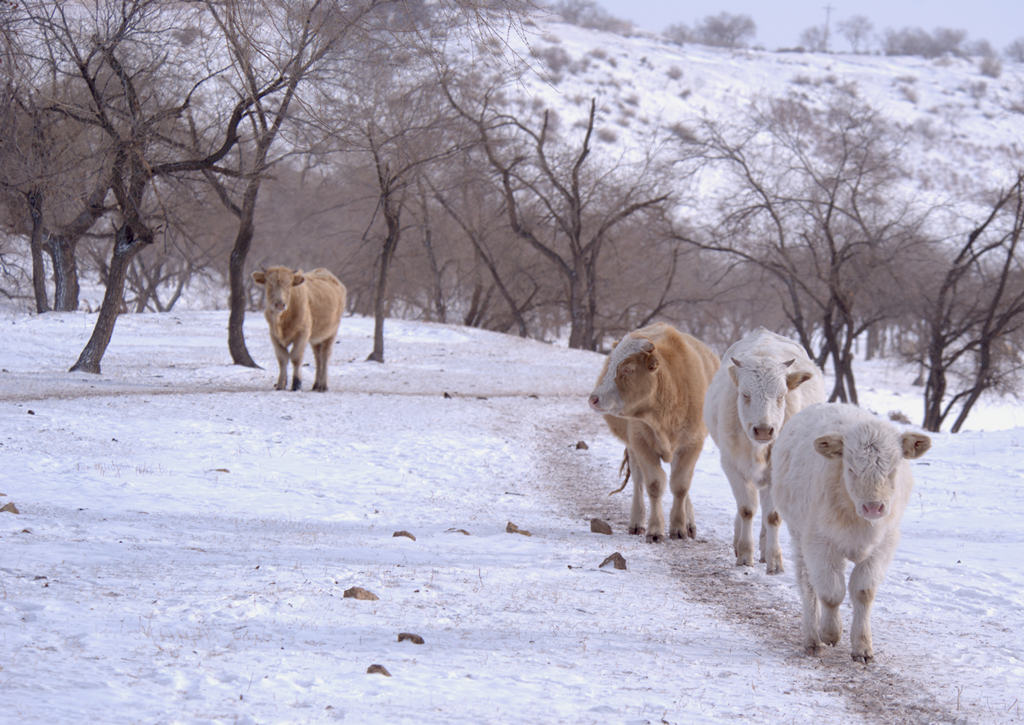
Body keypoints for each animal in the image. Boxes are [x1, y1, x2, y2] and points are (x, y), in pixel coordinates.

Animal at [585, 323, 720, 544]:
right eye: (610, 365)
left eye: (628, 369)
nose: (594, 398)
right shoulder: (641, 442)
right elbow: (655, 484)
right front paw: (655, 529)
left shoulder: (692, 444)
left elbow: (681, 485)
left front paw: (679, 527)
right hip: (632, 447)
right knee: (638, 480)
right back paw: (637, 522)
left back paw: (689, 523)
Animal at [704, 327, 823, 573]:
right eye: (745, 394)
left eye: (781, 395)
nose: (764, 430)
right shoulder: (732, 465)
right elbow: (746, 509)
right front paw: (744, 553)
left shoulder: (778, 473)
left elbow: (773, 516)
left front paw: (774, 559)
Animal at [770, 401, 933, 663]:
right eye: (851, 468)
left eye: (893, 469)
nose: (874, 507)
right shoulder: (819, 543)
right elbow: (831, 592)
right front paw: (830, 632)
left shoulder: (883, 546)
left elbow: (863, 591)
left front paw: (863, 647)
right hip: (799, 537)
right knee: (808, 585)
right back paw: (812, 639)